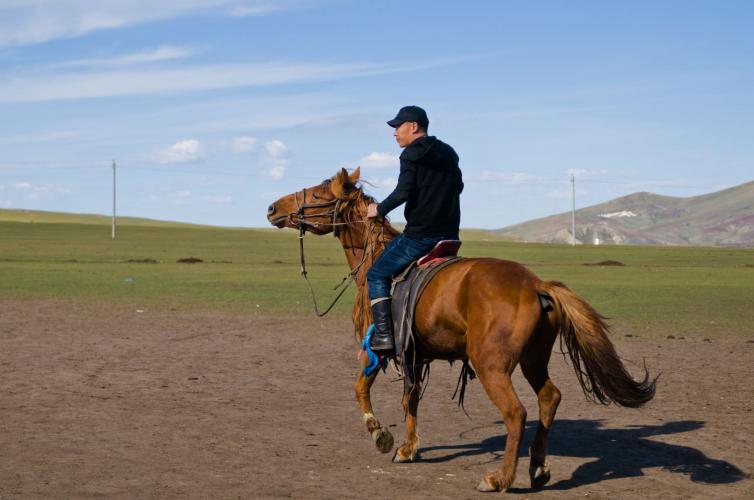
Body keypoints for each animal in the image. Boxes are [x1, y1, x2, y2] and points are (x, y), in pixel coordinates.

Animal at [268, 168, 656, 492]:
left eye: (318, 193)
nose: (272, 207)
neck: (376, 259)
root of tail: (535, 285)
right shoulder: (413, 354)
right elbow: (410, 399)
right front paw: (408, 448)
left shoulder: (376, 347)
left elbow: (360, 389)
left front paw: (381, 435)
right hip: (533, 360)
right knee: (549, 398)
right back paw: (537, 468)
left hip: (491, 366)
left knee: (516, 413)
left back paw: (500, 478)